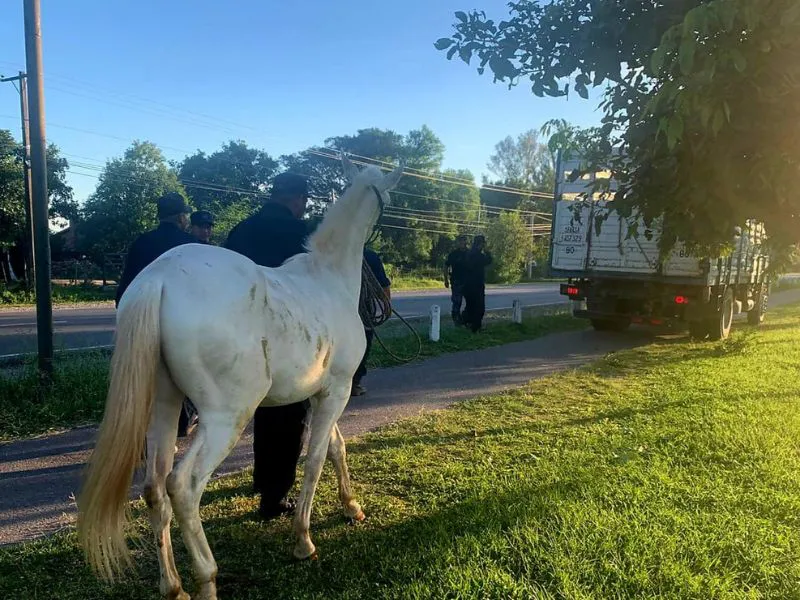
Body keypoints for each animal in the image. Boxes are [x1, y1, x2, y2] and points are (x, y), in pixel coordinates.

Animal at [76, 155, 404, 600]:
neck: (328, 277)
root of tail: (158, 279)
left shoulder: (320, 394)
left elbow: (335, 449)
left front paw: (351, 506)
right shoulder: (336, 391)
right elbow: (315, 459)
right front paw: (303, 540)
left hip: (164, 405)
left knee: (155, 488)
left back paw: (173, 586)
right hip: (226, 416)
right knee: (183, 486)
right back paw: (207, 578)